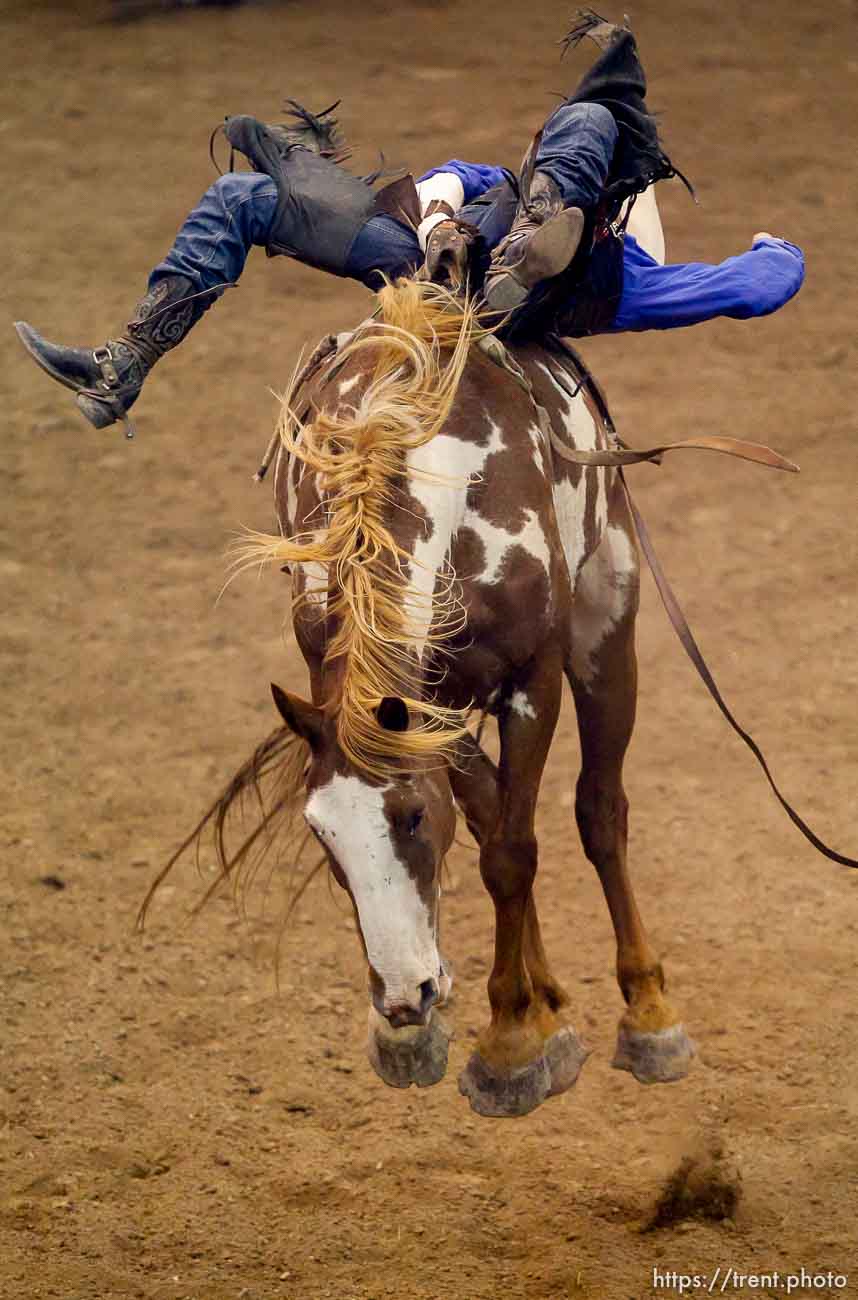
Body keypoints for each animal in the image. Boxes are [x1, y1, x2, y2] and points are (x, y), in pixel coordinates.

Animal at [230, 279, 696, 1123]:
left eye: (413, 817)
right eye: (319, 833)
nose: (404, 999)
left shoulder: (534, 680)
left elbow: (514, 853)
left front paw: (508, 1048)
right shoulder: (414, 707)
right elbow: (492, 832)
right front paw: (465, 1032)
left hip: (609, 620)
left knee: (599, 809)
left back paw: (648, 1015)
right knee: (496, 813)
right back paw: (549, 1008)